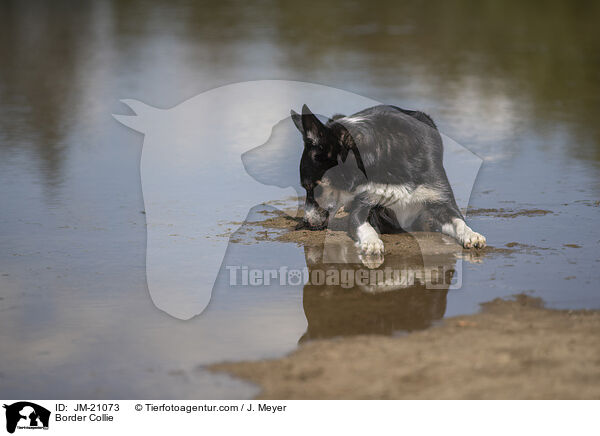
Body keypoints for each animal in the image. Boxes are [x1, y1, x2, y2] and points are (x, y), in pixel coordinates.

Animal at [292, 104, 488, 258]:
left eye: (313, 188)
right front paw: (372, 242)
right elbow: (362, 224)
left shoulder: (438, 199)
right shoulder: (364, 205)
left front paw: (472, 235)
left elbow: (458, 221)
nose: (305, 222)